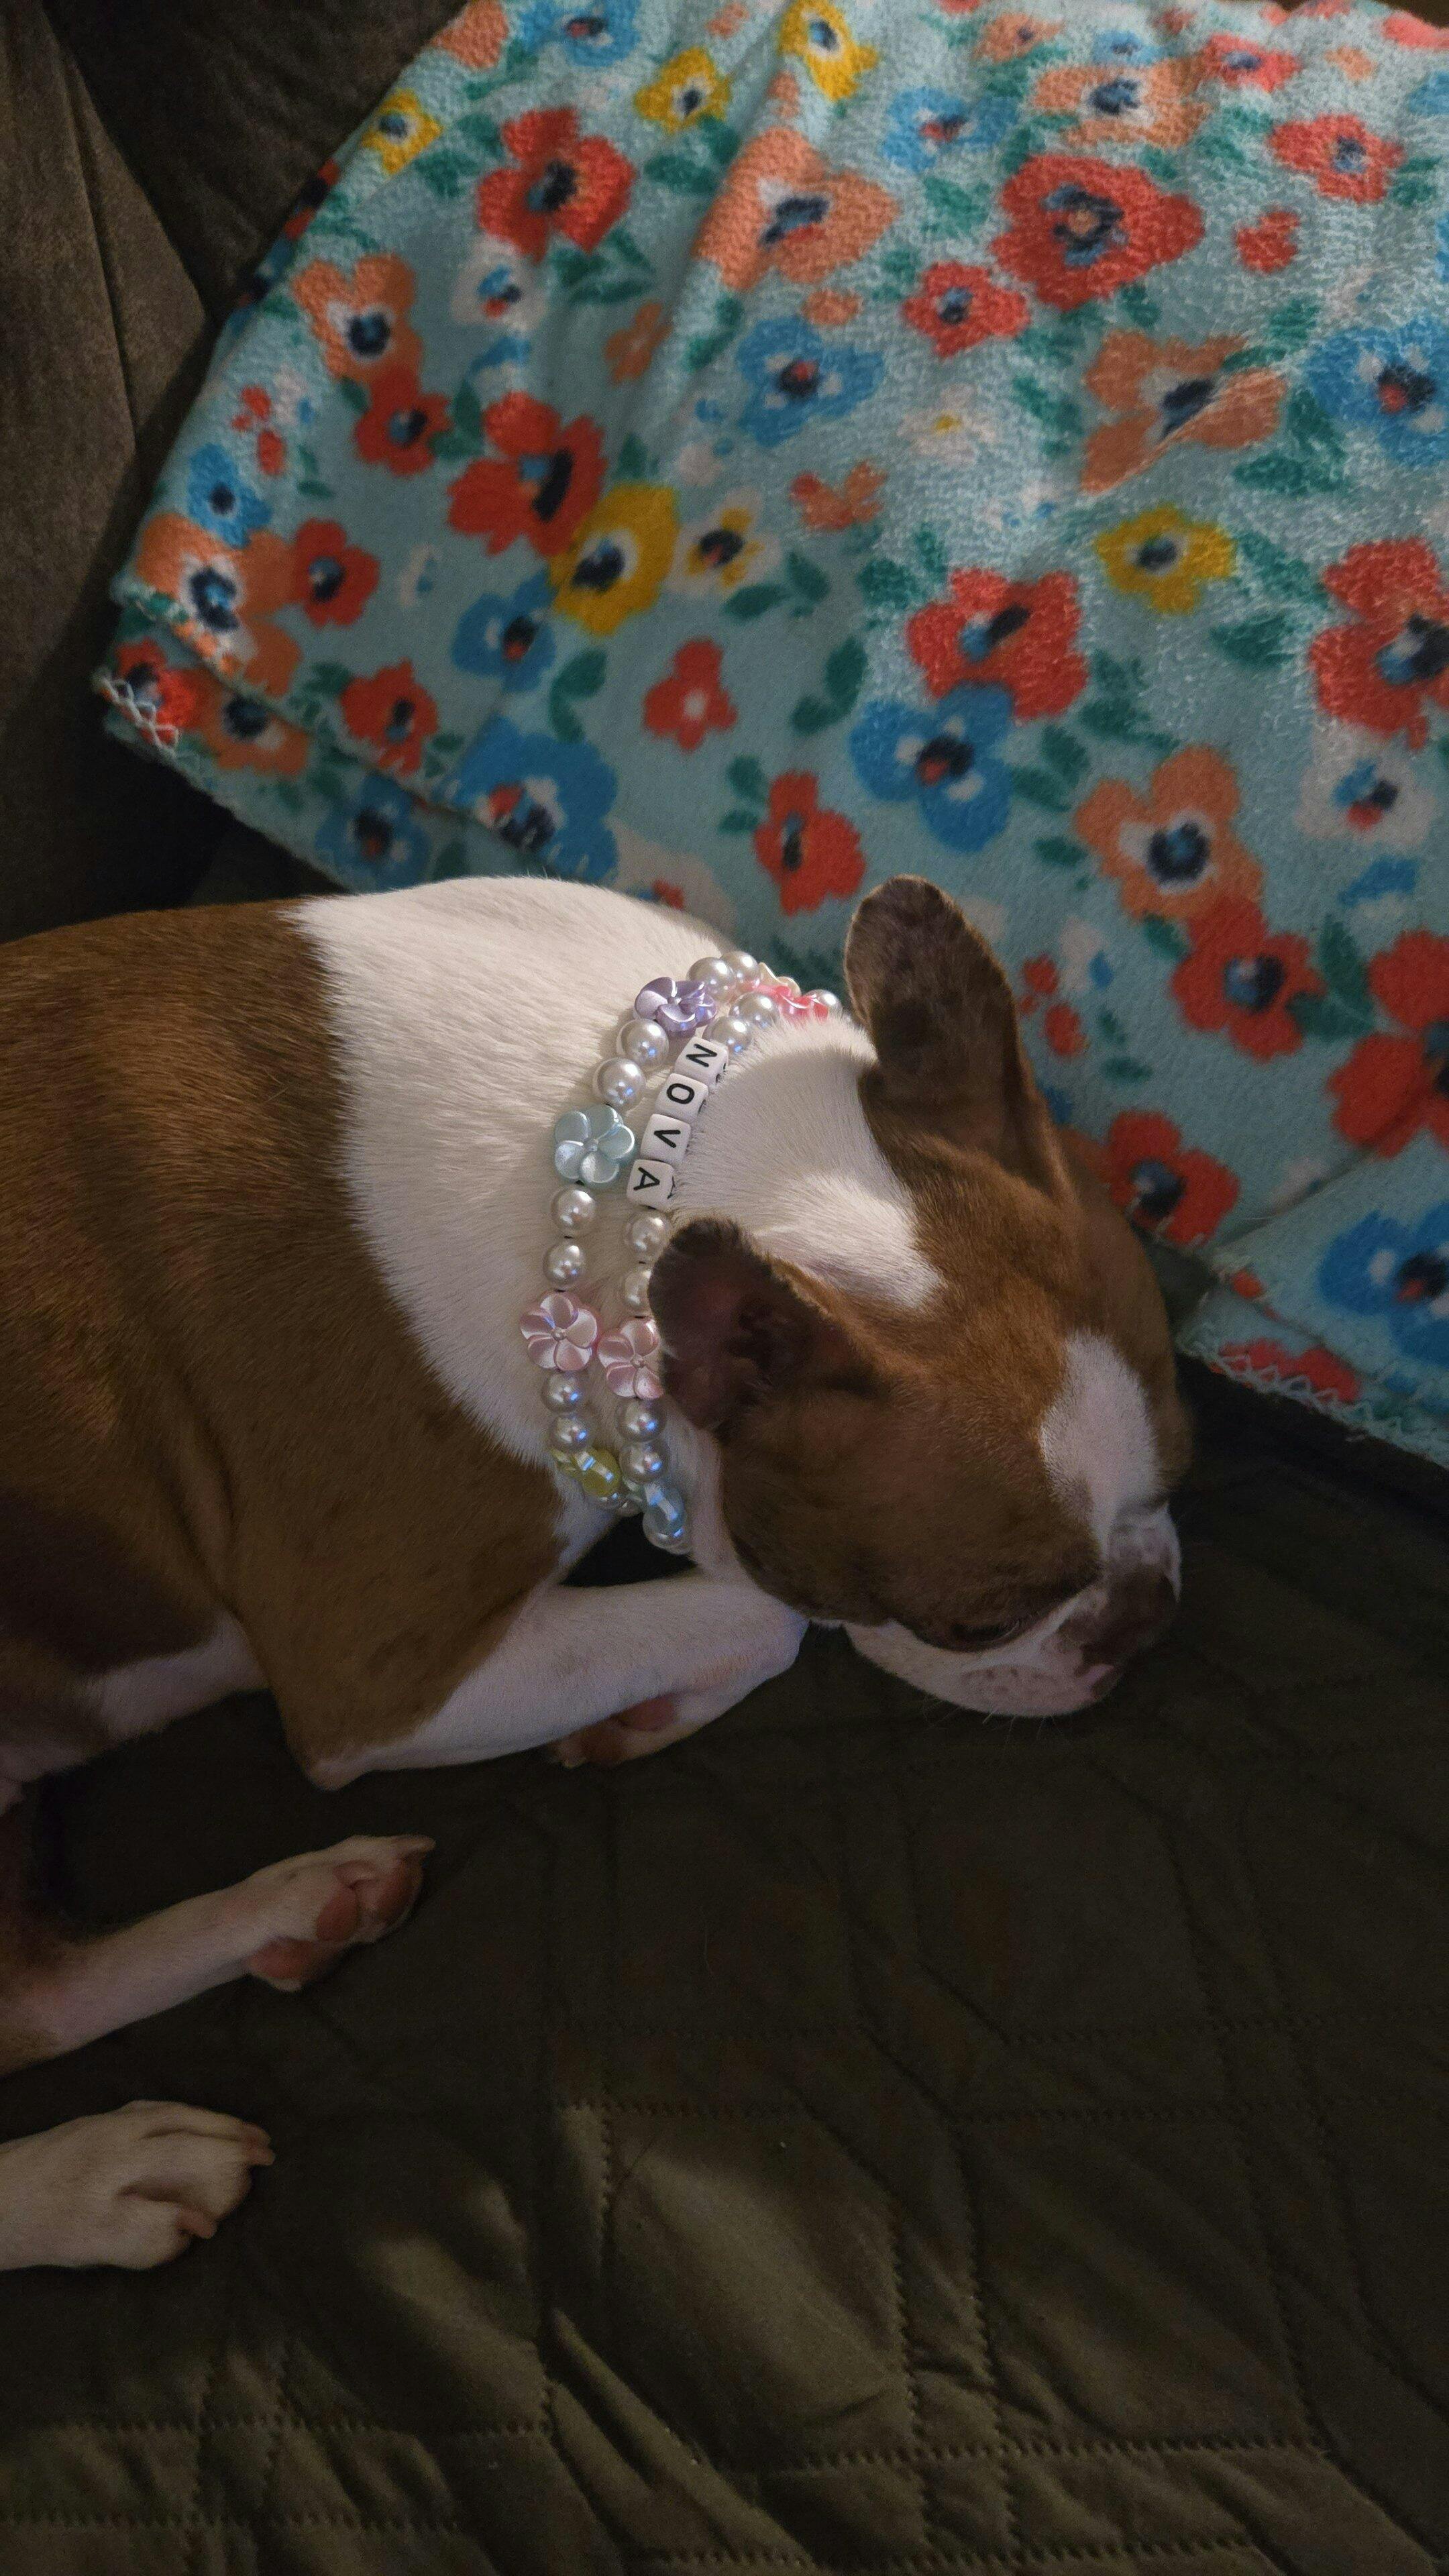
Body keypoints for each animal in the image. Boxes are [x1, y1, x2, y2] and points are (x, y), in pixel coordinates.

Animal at [0, 870, 1187, 2266]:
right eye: (977, 1620)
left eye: (1184, 1468)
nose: (1141, 1620)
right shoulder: (381, 1685)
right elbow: (768, 1620)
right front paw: (659, 1704)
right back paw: (89, 2182)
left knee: (34, 1992)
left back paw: (296, 1910)